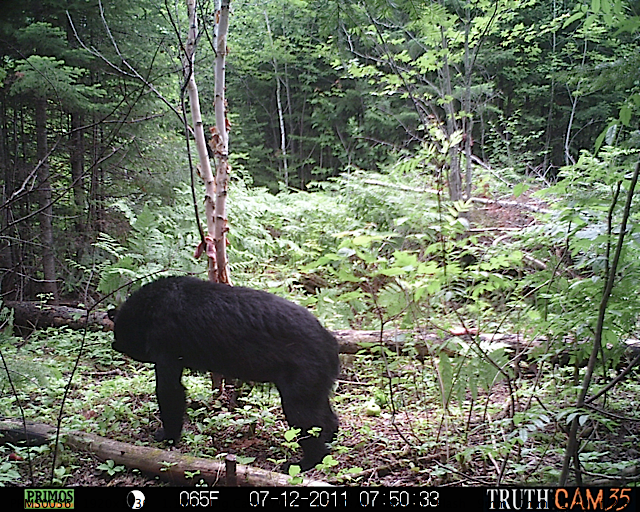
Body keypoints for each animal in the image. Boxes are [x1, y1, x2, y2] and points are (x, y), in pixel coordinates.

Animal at [110, 278, 340, 470]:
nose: (115, 345)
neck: (150, 307)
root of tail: (331, 343)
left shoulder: (165, 342)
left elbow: (170, 391)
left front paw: (166, 436)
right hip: (314, 383)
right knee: (325, 416)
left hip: (302, 379)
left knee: (306, 420)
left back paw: (304, 462)